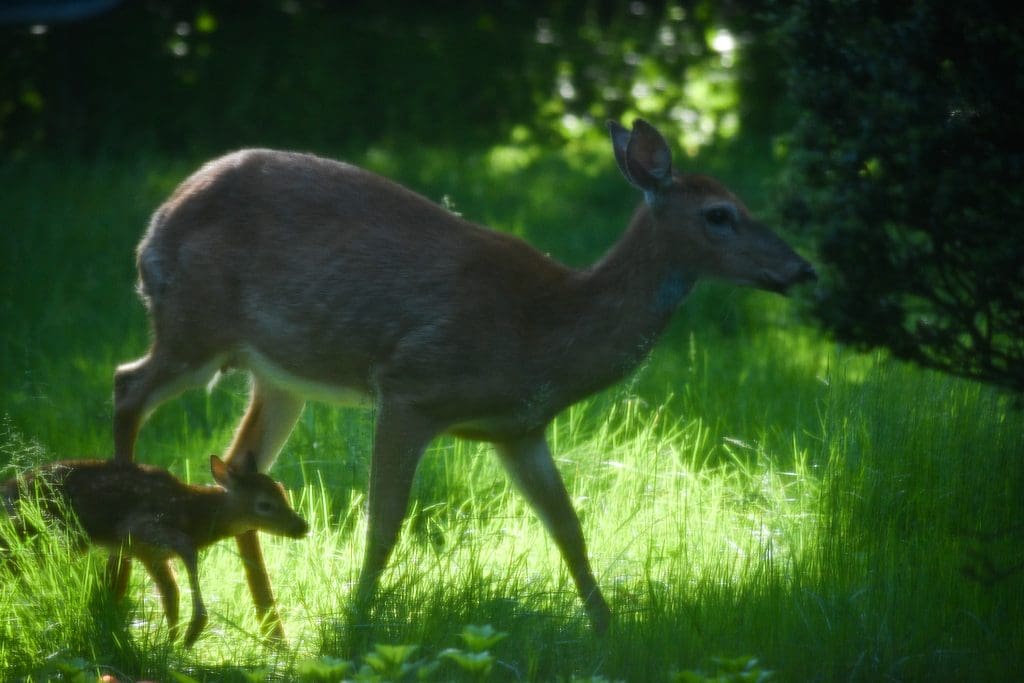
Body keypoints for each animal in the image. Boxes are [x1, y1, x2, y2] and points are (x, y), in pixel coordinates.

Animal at [1, 455, 309, 647]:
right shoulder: (140, 532)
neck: (191, 513)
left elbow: (170, 596)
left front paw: (170, 641)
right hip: (40, 535)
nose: (302, 526)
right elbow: (185, 560)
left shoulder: (151, 554)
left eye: (283, 491)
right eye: (265, 505)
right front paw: (190, 632)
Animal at [110, 118, 816, 637]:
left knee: (238, 462)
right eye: (720, 213)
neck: (548, 328)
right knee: (127, 384)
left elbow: (569, 528)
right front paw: (356, 623)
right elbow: (385, 522)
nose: (802, 268)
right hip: (192, 324)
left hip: (276, 374)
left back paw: (273, 630)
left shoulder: (520, 429)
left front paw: (606, 628)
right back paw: (116, 583)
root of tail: (155, 225)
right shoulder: (411, 389)